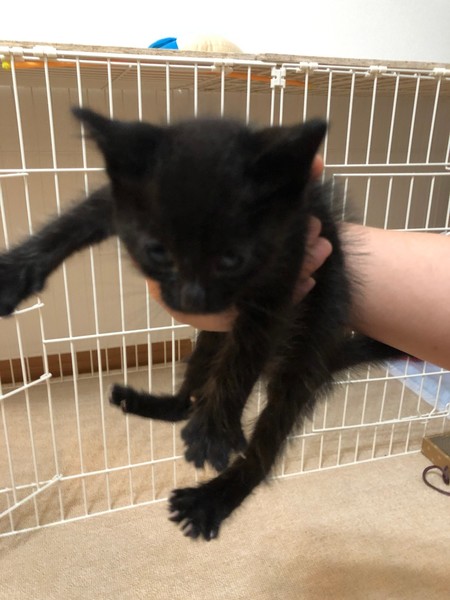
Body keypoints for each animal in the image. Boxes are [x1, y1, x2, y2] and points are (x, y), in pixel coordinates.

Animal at [0, 108, 402, 540]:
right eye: (158, 251)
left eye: (231, 259)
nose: (192, 299)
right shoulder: (122, 199)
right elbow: (77, 218)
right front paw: (17, 270)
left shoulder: (284, 269)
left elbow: (242, 359)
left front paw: (213, 433)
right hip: (210, 337)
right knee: (189, 395)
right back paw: (149, 403)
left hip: (305, 353)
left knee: (265, 443)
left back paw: (211, 499)